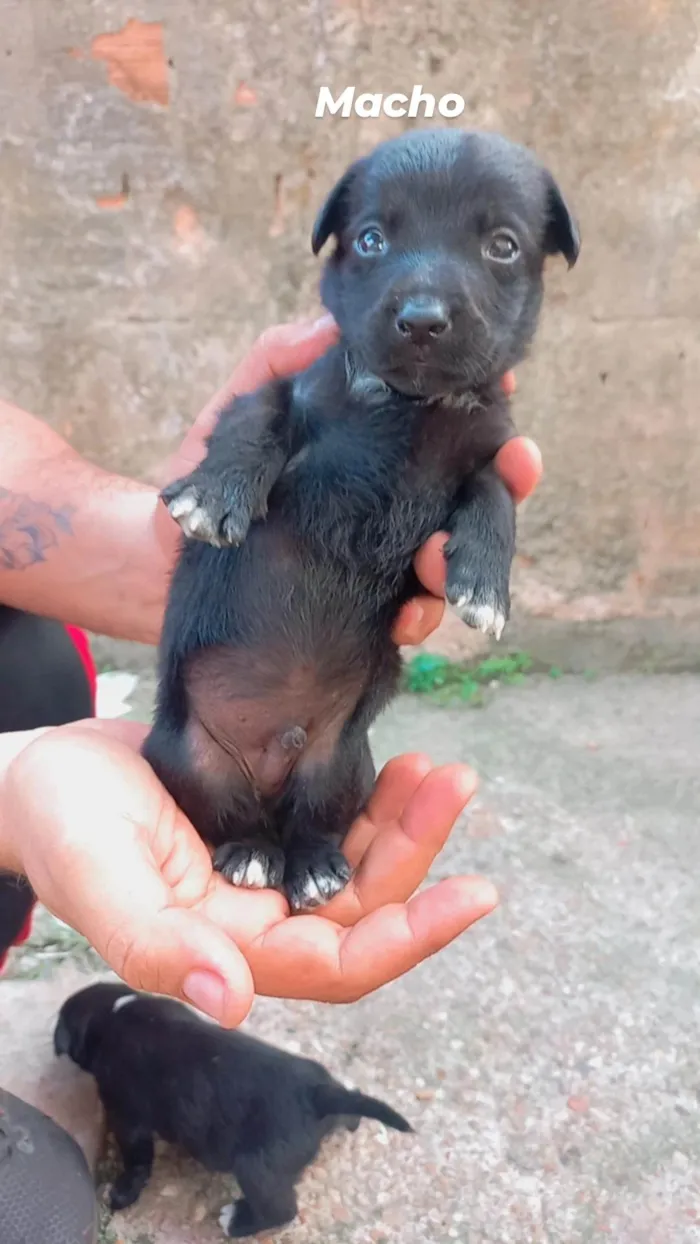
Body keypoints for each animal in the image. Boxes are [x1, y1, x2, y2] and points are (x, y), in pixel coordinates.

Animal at [56, 985, 415, 1239]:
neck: (116, 1013)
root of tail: (318, 1095)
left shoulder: (127, 1116)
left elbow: (137, 1159)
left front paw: (120, 1194)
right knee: (351, 1100)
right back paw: (352, 1119)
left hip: (257, 1168)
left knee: (283, 1209)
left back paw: (237, 1222)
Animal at [143, 128, 581, 915]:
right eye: (373, 239)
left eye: (502, 246)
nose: (423, 319)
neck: (411, 404)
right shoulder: (297, 391)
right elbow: (256, 413)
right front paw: (214, 495)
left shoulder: (486, 444)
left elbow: (496, 489)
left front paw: (484, 584)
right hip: (186, 755)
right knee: (231, 818)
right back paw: (249, 853)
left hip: (343, 761)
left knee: (314, 821)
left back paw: (314, 865)